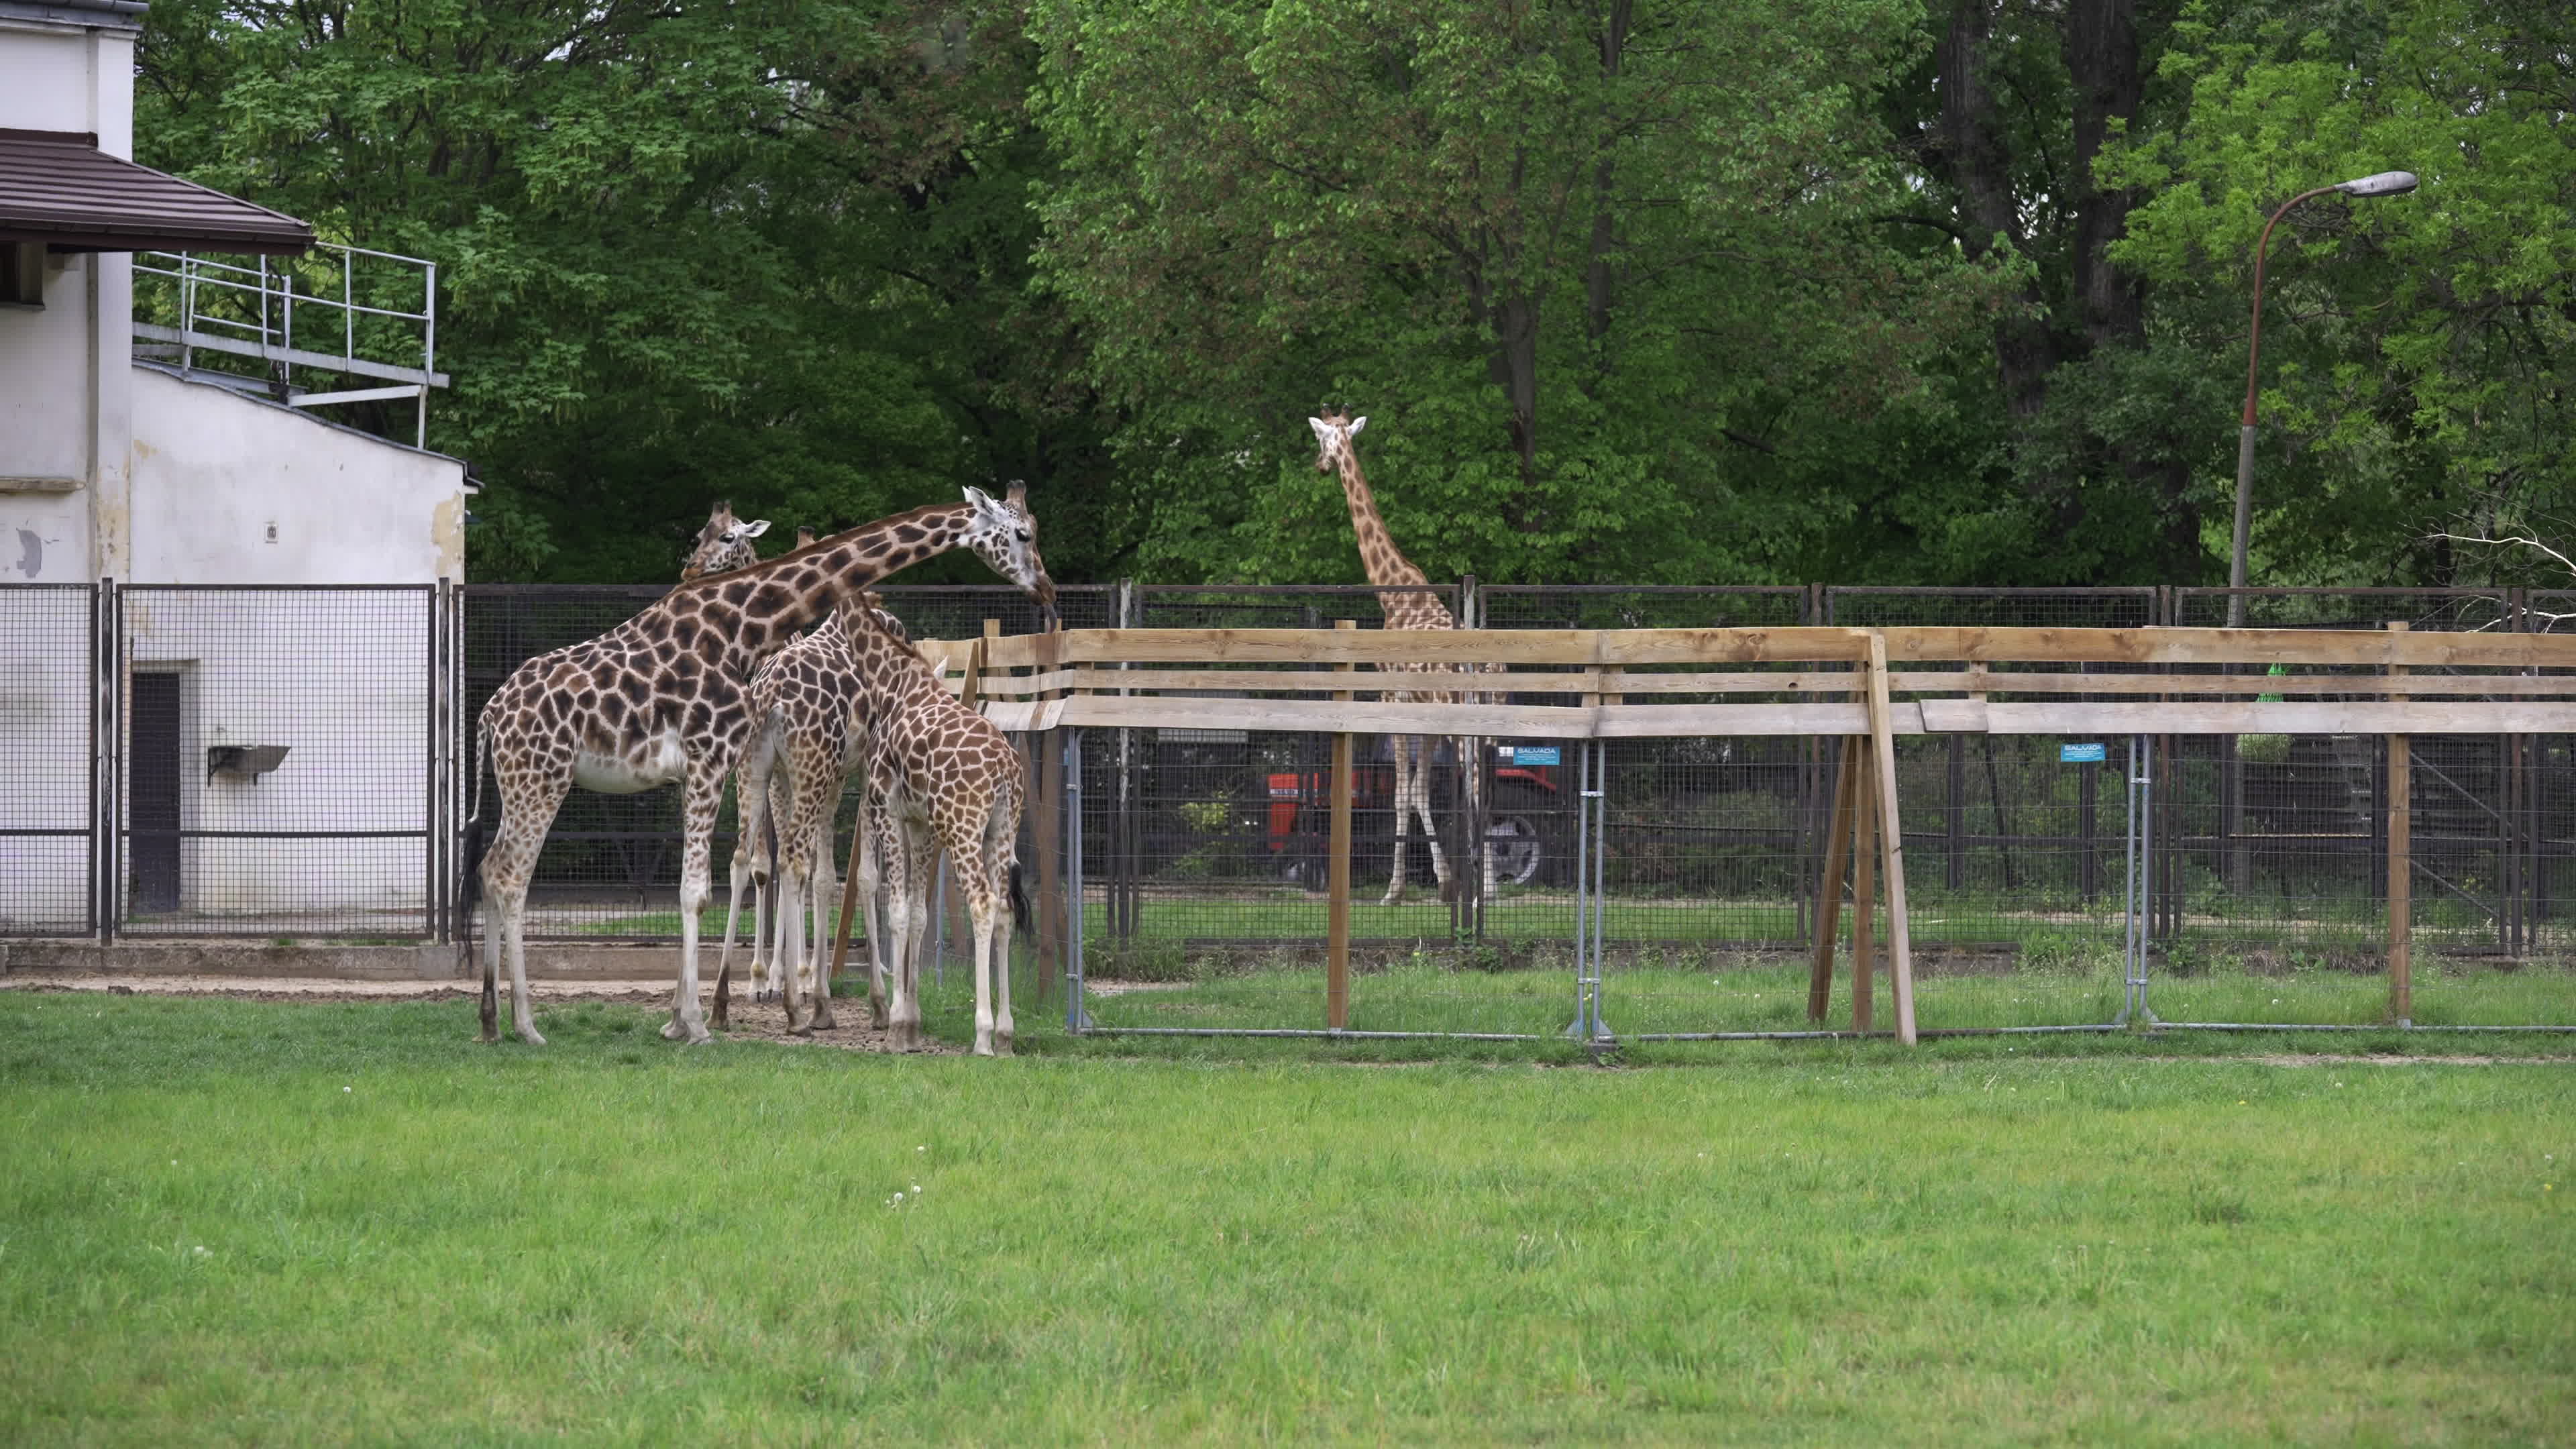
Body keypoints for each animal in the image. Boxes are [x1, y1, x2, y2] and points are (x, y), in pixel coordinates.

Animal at [841, 592, 1025, 1055]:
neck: (891, 681)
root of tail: (1003, 770)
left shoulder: (886, 806)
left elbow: (898, 911)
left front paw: (895, 1027)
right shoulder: (920, 823)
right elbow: (920, 912)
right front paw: (910, 1024)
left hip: (962, 826)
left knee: (982, 903)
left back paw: (983, 1035)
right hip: (1002, 828)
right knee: (1005, 910)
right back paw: (1006, 1034)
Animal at [1308, 411, 1495, 905]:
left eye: (1321, 439)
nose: (1320, 466)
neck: (1393, 593)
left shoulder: (1392, 698)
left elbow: (1400, 794)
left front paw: (1397, 889)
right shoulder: (1425, 716)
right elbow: (1420, 791)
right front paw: (1443, 883)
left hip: (1467, 727)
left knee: (1474, 787)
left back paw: (1481, 892)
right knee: (1487, 786)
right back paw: (1486, 888)